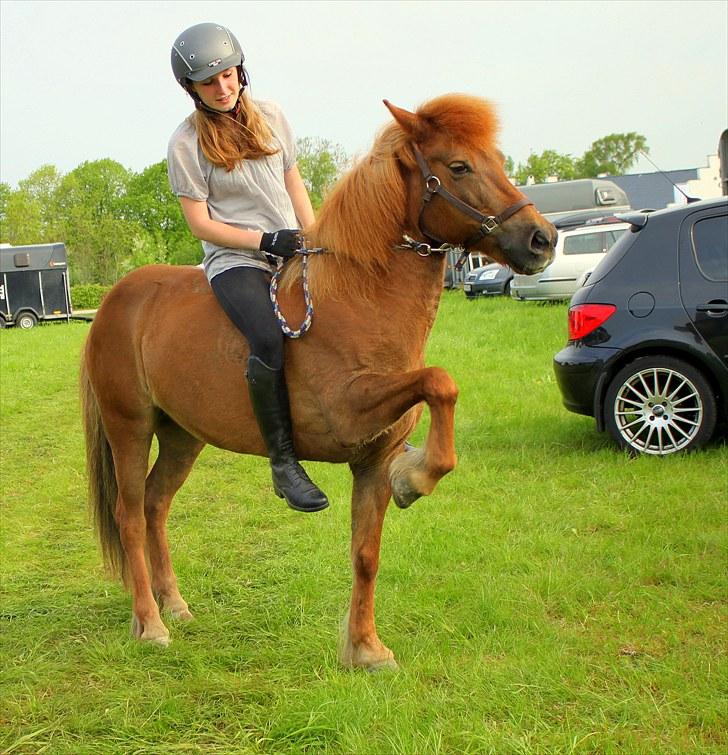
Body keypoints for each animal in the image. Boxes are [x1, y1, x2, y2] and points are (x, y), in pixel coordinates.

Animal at [81, 94, 556, 668]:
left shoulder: (372, 459)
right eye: (459, 166)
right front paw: (415, 479)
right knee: (129, 515)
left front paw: (366, 647)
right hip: (129, 426)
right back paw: (150, 623)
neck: (362, 298)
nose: (542, 239)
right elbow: (441, 382)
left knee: (155, 505)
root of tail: (112, 302)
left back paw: (174, 605)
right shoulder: (350, 411)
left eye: (500, 160)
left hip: (182, 435)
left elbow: (366, 554)